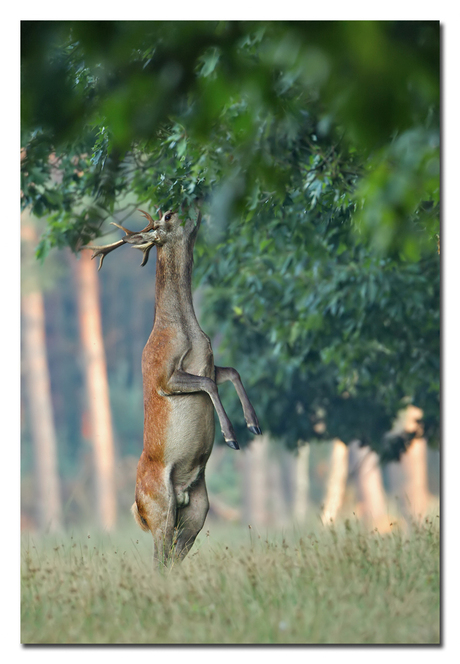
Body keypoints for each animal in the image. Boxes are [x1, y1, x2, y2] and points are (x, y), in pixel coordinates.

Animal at [86, 204, 258, 564]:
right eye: (167, 215)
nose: (192, 206)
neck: (186, 331)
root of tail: (136, 508)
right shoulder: (163, 376)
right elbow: (209, 384)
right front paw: (232, 436)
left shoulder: (209, 361)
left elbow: (232, 372)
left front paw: (253, 424)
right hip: (160, 508)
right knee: (158, 559)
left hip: (196, 511)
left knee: (172, 559)